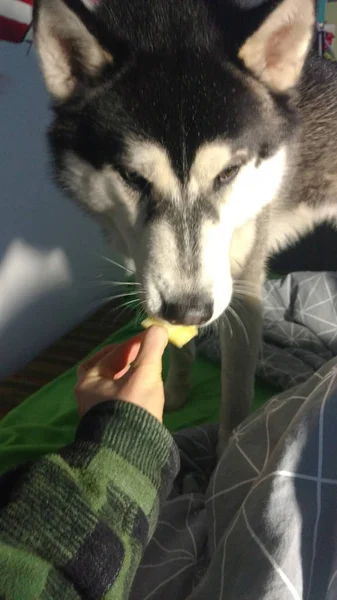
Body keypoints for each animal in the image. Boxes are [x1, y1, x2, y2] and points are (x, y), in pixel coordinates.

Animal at [33, 0, 334, 450]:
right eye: (132, 177)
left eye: (228, 173)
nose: (190, 309)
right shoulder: (148, 268)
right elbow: (174, 344)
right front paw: (175, 391)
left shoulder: (244, 291)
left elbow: (235, 395)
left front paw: (226, 457)